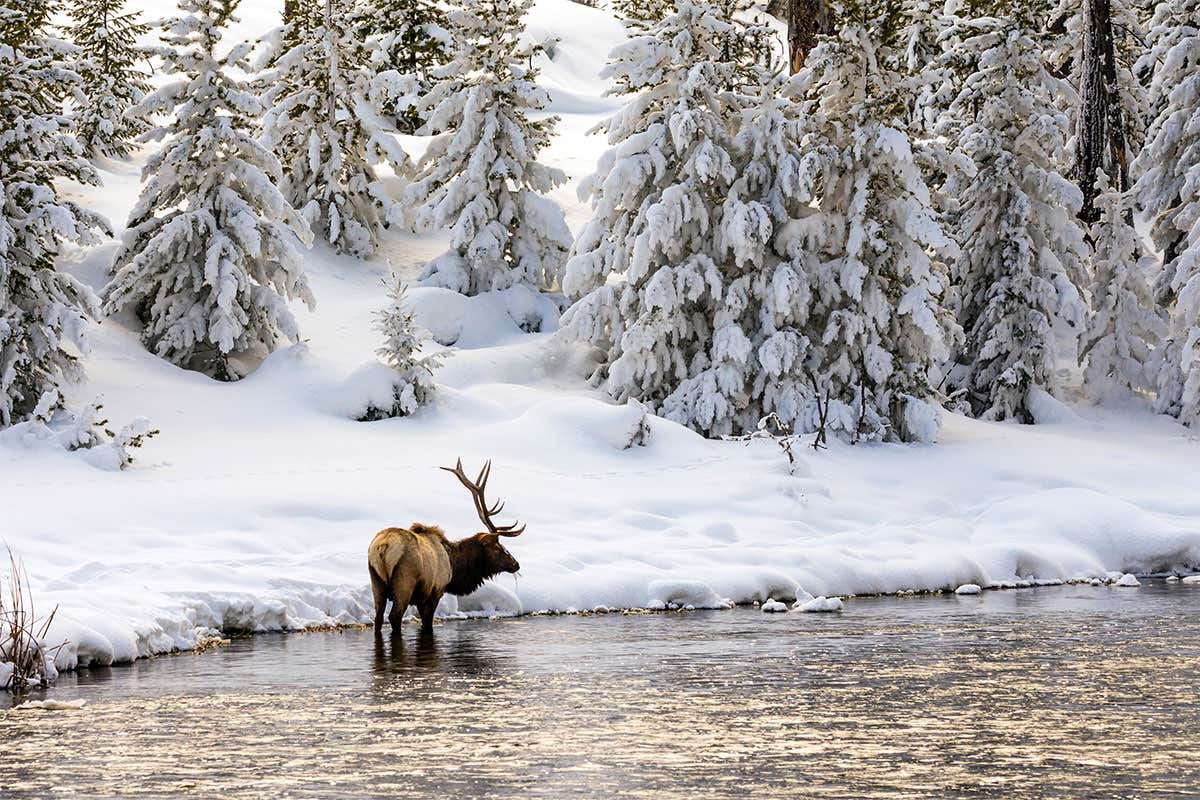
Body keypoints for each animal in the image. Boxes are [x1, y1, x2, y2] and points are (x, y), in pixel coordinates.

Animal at [367, 459, 524, 634]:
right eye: (497, 546)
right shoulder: (436, 590)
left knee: (378, 618)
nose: (516, 564)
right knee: (394, 616)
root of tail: (383, 546)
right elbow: (427, 623)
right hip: (404, 581)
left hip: (376, 581)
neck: (454, 566)